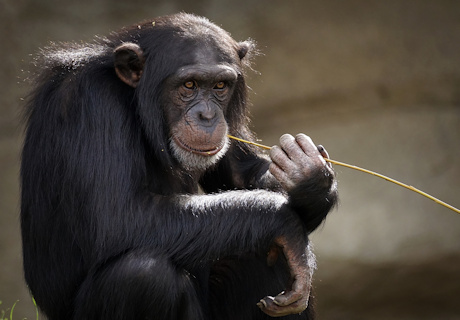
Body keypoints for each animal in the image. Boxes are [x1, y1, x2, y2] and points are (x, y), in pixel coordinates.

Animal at [20, 13, 338, 320]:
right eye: (189, 85)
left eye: (220, 86)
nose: (207, 115)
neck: (133, 99)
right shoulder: (91, 102)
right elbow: (116, 216)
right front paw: (285, 224)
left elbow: (241, 174)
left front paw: (309, 177)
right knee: (142, 273)